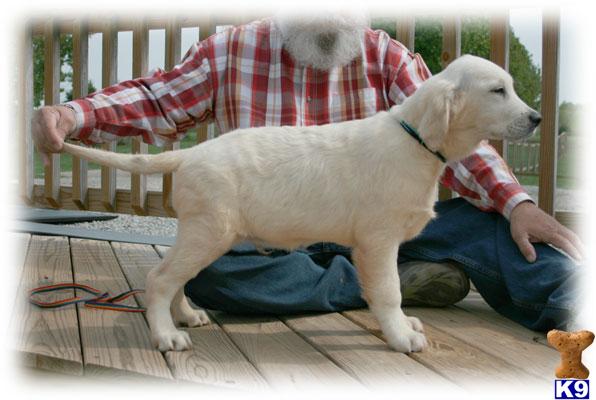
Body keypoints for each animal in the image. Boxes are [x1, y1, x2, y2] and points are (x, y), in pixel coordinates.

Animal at [61, 55, 540, 354]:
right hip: (210, 231)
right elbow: (389, 291)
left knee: (175, 278)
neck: (415, 140)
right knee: (159, 279)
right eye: (498, 90)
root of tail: (191, 154)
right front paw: (401, 336)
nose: (536, 118)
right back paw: (166, 336)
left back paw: (187, 316)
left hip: (203, 232)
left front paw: (405, 325)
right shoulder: (378, 240)